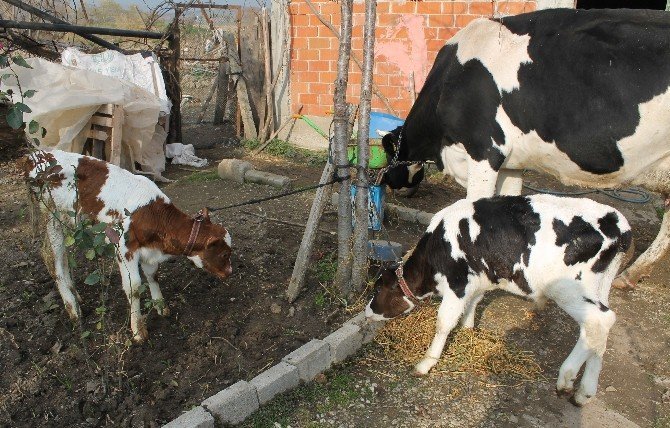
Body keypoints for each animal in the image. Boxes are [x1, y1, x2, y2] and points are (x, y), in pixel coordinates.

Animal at [23, 150, 234, 342]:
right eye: (224, 254)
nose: (230, 272)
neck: (152, 214)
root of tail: (33, 156)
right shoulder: (124, 249)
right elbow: (134, 287)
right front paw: (138, 331)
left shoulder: (149, 251)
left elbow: (152, 275)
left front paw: (160, 305)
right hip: (52, 218)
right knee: (53, 258)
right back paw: (73, 308)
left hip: (72, 225)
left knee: (63, 257)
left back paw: (76, 296)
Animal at [368, 196, 636, 406]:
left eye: (378, 288)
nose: (368, 311)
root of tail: (619, 225)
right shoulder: (480, 279)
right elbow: (474, 302)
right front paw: (468, 329)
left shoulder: (457, 282)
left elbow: (443, 322)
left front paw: (426, 363)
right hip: (600, 285)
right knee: (601, 334)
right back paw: (584, 393)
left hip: (568, 287)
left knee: (598, 321)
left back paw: (567, 378)